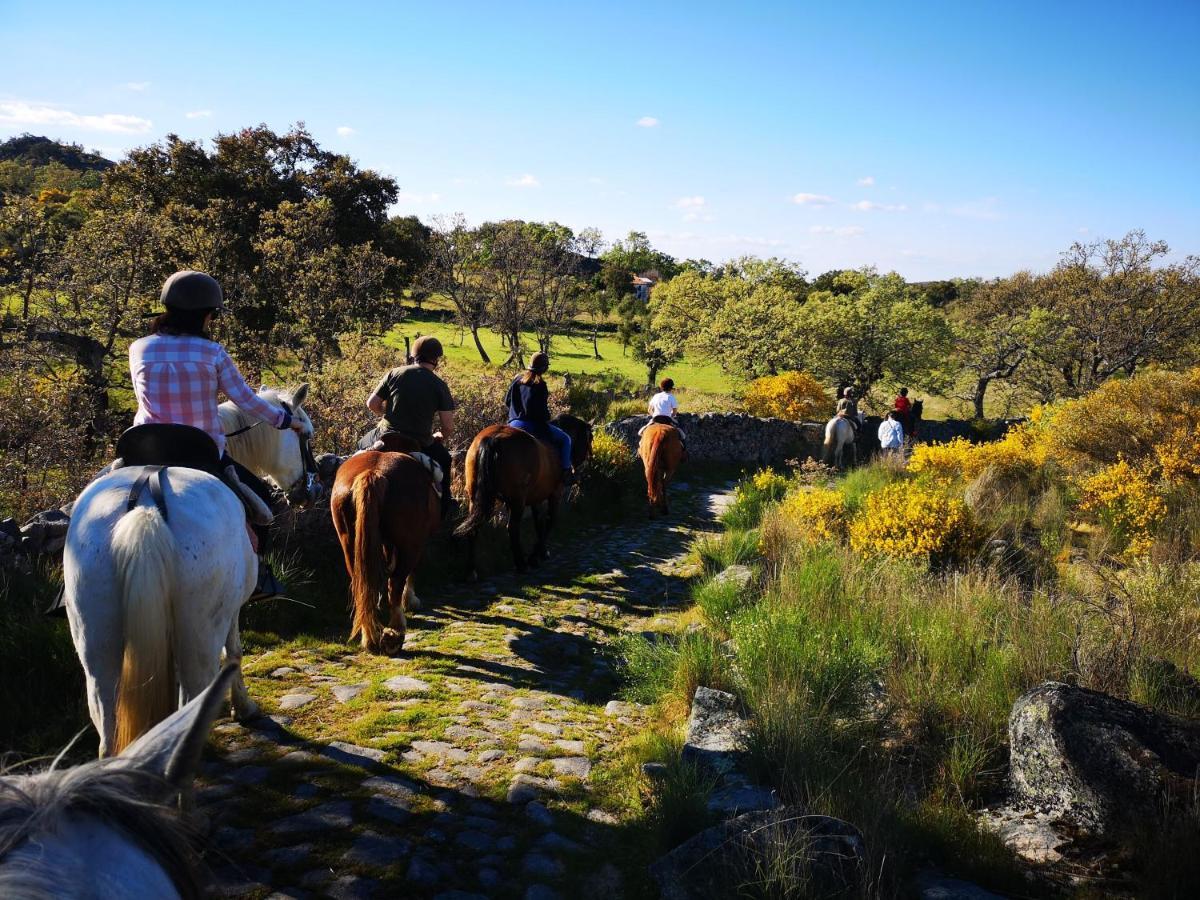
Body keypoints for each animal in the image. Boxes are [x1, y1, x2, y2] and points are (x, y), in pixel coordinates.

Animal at [63, 384, 316, 758]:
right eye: (305, 435)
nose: (311, 490)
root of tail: (147, 506)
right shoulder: (230, 611)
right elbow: (233, 654)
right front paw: (245, 709)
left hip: (96, 644)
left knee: (105, 720)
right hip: (200, 634)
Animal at [328, 444, 441, 657]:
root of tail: (372, 472)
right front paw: (410, 600)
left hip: (349, 544)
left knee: (362, 586)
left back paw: (370, 637)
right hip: (409, 545)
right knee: (395, 584)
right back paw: (394, 635)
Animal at [456, 415, 592, 578]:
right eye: (589, 439)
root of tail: (494, 438)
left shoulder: (535, 499)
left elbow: (538, 523)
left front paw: (542, 552)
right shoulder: (555, 494)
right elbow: (549, 521)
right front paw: (535, 556)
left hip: (475, 498)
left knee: (473, 530)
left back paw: (471, 571)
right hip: (517, 501)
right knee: (513, 528)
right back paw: (521, 564)